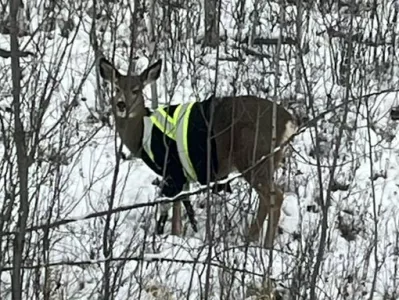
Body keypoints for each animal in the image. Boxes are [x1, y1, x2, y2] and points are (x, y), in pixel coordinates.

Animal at [96, 56, 296, 248]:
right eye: (116, 88)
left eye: (136, 90)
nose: (121, 105)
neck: (141, 133)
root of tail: (289, 122)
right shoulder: (181, 174)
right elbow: (181, 204)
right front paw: (180, 234)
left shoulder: (172, 168)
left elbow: (171, 204)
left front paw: (171, 236)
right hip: (266, 161)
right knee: (267, 198)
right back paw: (252, 239)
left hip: (253, 157)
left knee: (275, 196)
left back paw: (265, 245)